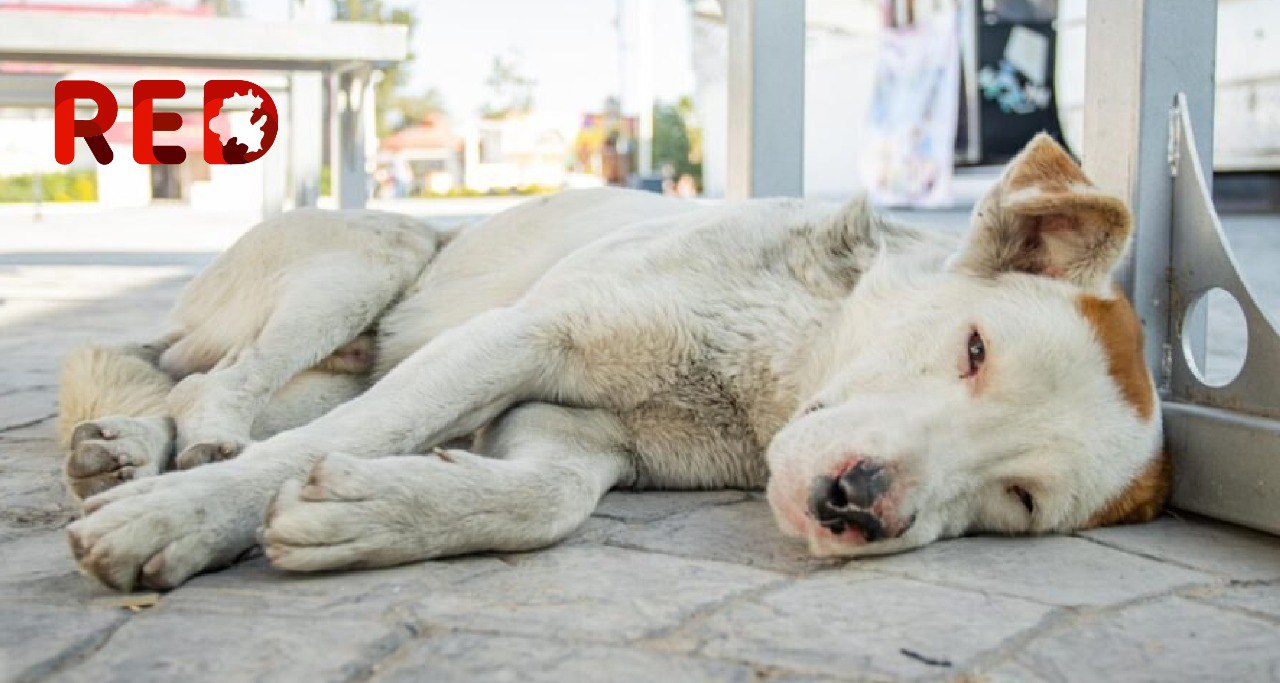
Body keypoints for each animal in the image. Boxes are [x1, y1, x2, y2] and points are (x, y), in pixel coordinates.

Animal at [55, 134, 1167, 593]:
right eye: (972, 349)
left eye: (1016, 500)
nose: (857, 503)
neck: (775, 361)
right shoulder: (519, 338)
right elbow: (352, 439)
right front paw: (180, 521)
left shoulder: (570, 427)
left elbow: (543, 498)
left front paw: (372, 510)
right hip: (370, 261)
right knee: (223, 382)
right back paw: (182, 452)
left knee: (236, 390)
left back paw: (129, 444)